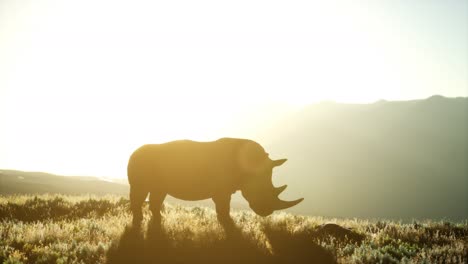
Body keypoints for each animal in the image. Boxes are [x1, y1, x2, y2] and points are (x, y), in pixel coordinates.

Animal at [128, 138, 304, 229]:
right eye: (261, 191)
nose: (266, 212)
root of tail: (133, 152)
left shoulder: (226, 188)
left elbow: (223, 207)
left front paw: (225, 223)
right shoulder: (222, 190)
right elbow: (224, 206)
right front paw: (228, 224)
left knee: (158, 193)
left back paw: (158, 220)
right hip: (140, 162)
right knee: (139, 191)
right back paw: (138, 222)